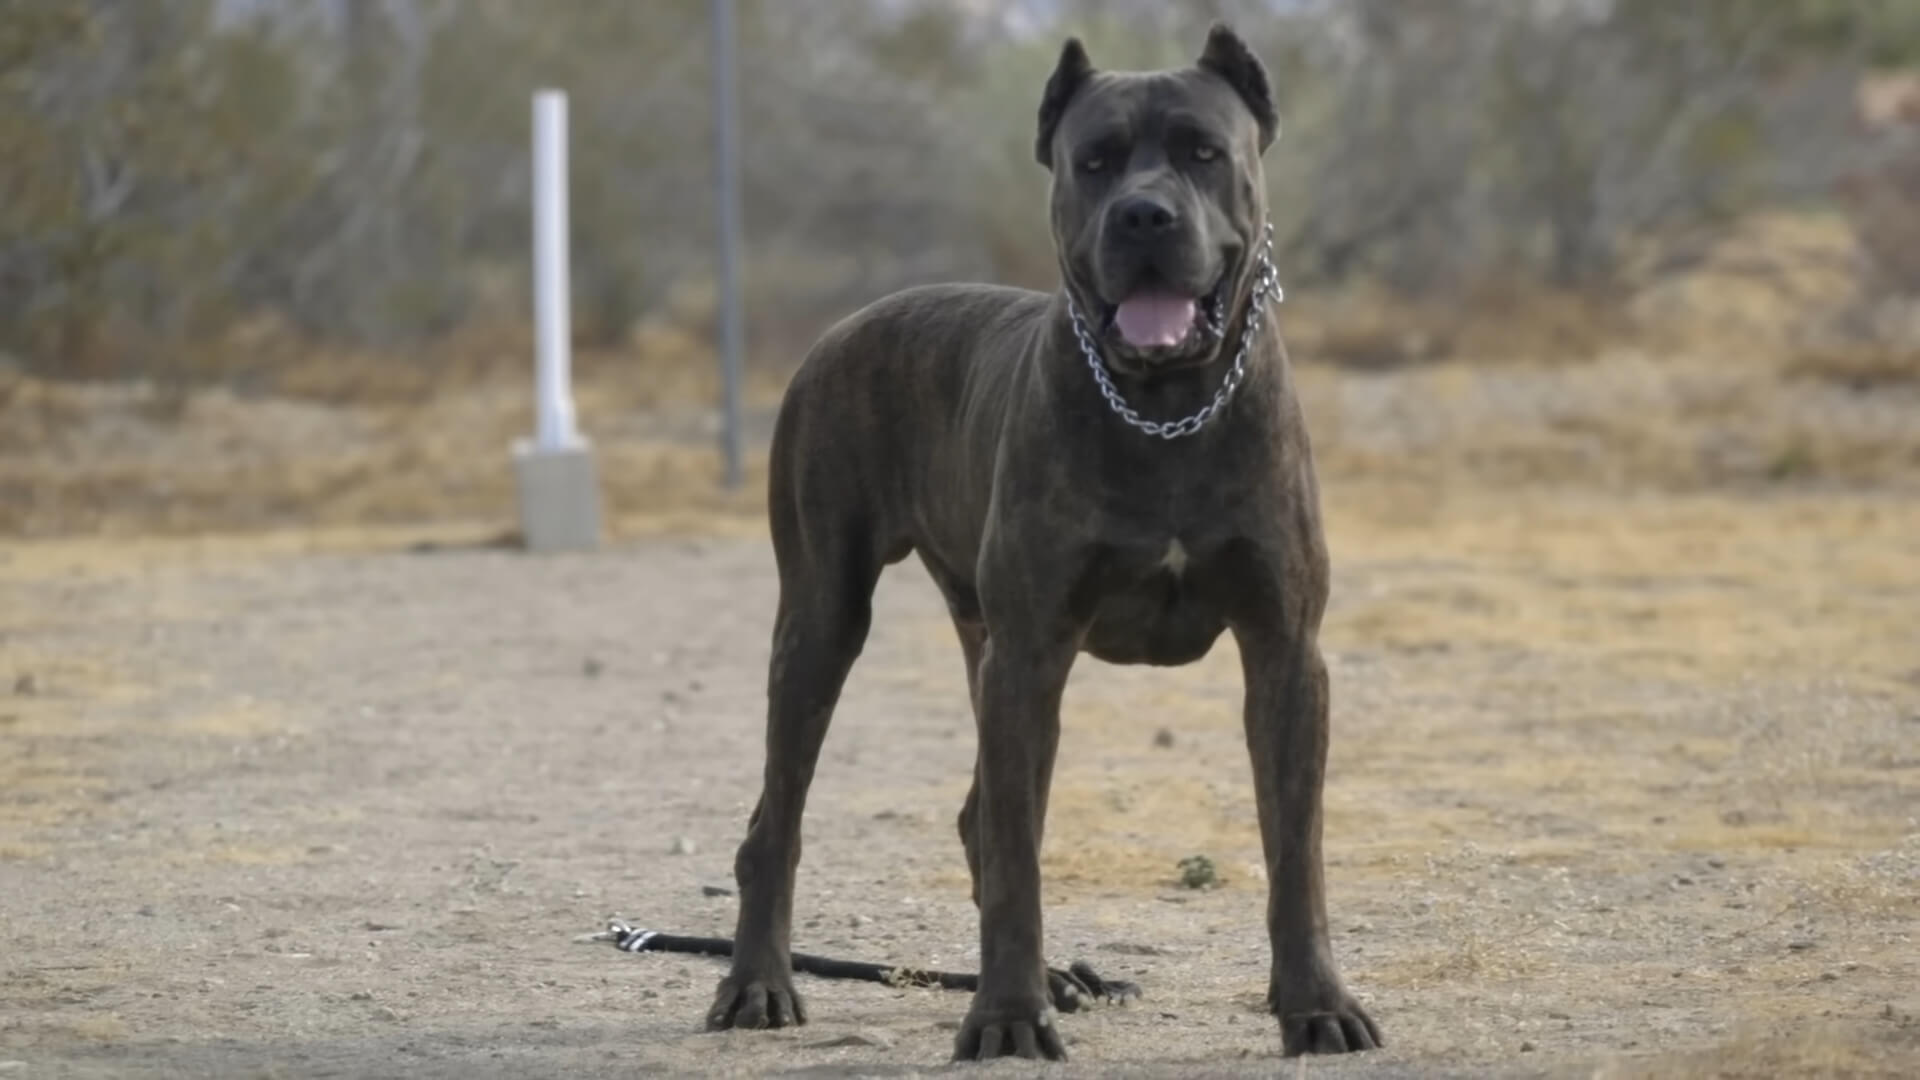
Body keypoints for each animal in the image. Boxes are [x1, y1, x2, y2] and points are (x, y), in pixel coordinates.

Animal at [702, 25, 1382, 1060]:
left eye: (1202, 152)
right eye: (1094, 160)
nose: (1143, 215)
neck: (1165, 405)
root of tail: (847, 325)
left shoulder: (1285, 652)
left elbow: (1294, 850)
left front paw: (1315, 1005)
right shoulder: (1029, 657)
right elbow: (1020, 857)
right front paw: (1007, 1017)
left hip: (981, 642)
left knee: (974, 813)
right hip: (826, 620)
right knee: (779, 825)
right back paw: (759, 985)